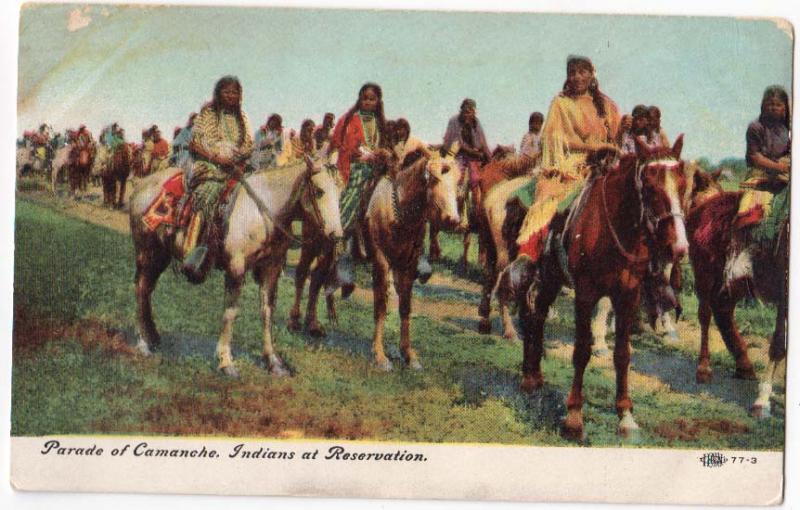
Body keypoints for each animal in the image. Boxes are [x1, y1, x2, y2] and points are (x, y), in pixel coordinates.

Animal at [130, 157, 342, 376]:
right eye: (319, 191)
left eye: (340, 192)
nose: (337, 235)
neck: (263, 212)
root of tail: (142, 185)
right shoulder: (236, 268)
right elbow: (230, 312)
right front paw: (225, 360)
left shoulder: (271, 269)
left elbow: (267, 312)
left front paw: (273, 361)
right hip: (146, 252)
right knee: (141, 289)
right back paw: (143, 343)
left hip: (161, 255)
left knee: (147, 289)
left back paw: (152, 336)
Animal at [366, 147, 460, 370]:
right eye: (433, 178)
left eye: (458, 180)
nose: (453, 220)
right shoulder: (381, 260)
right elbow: (381, 306)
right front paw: (380, 355)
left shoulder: (408, 265)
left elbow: (405, 307)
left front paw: (408, 354)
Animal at [520, 137, 688, 440]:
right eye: (650, 186)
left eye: (683, 185)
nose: (678, 247)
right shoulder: (585, 294)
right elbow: (581, 352)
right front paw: (574, 417)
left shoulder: (628, 296)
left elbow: (622, 354)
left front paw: (625, 415)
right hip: (542, 274)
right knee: (532, 315)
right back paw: (528, 377)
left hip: (552, 278)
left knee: (536, 315)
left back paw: (535, 375)